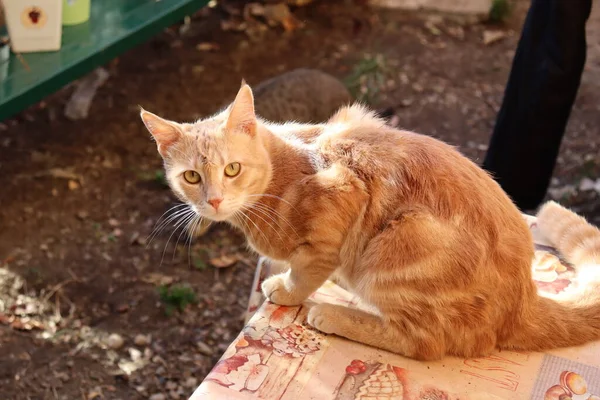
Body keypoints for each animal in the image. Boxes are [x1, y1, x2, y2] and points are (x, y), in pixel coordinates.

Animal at [141, 83, 600, 360]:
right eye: (192, 177)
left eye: (232, 169)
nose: (214, 201)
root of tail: (525, 298)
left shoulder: (340, 196)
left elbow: (305, 273)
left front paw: (287, 289)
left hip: (402, 243)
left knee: (424, 342)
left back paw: (333, 315)